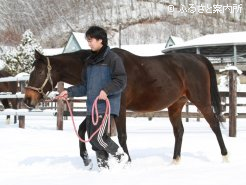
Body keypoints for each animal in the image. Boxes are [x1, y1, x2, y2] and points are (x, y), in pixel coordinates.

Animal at [23, 48, 229, 165]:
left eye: (39, 72)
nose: (27, 99)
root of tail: (199, 59)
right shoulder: (101, 109)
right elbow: (85, 130)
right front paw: (87, 158)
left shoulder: (119, 109)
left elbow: (121, 136)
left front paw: (127, 161)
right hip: (176, 106)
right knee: (179, 131)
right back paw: (175, 161)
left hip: (202, 101)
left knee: (215, 125)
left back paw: (225, 157)